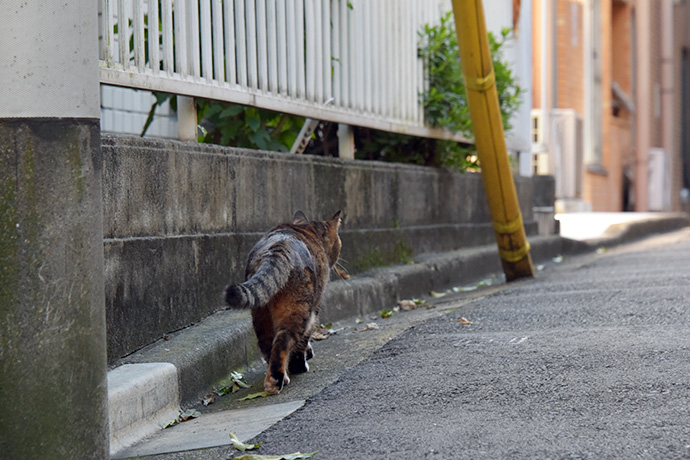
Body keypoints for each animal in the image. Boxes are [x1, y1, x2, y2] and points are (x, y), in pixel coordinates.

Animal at [226, 210, 342, 394]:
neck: (307, 229)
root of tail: (278, 247)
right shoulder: (314, 310)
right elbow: (302, 342)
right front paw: (300, 365)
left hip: (261, 314)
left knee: (268, 344)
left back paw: (280, 376)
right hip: (298, 309)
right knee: (283, 340)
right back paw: (276, 381)